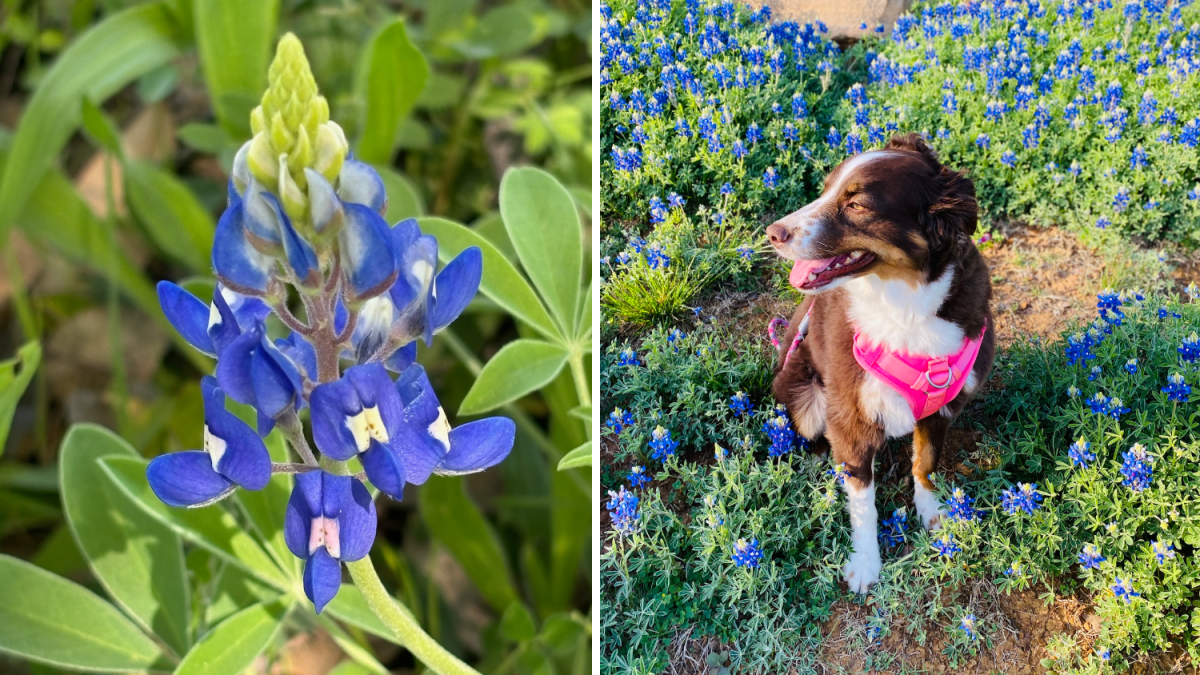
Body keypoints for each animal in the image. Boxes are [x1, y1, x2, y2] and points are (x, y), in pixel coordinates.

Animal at [763, 133, 998, 590]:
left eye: (856, 204)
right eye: (825, 189)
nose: (773, 232)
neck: (904, 305)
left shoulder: (942, 408)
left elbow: (925, 464)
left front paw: (933, 513)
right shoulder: (849, 418)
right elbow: (863, 503)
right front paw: (867, 563)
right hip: (804, 399)